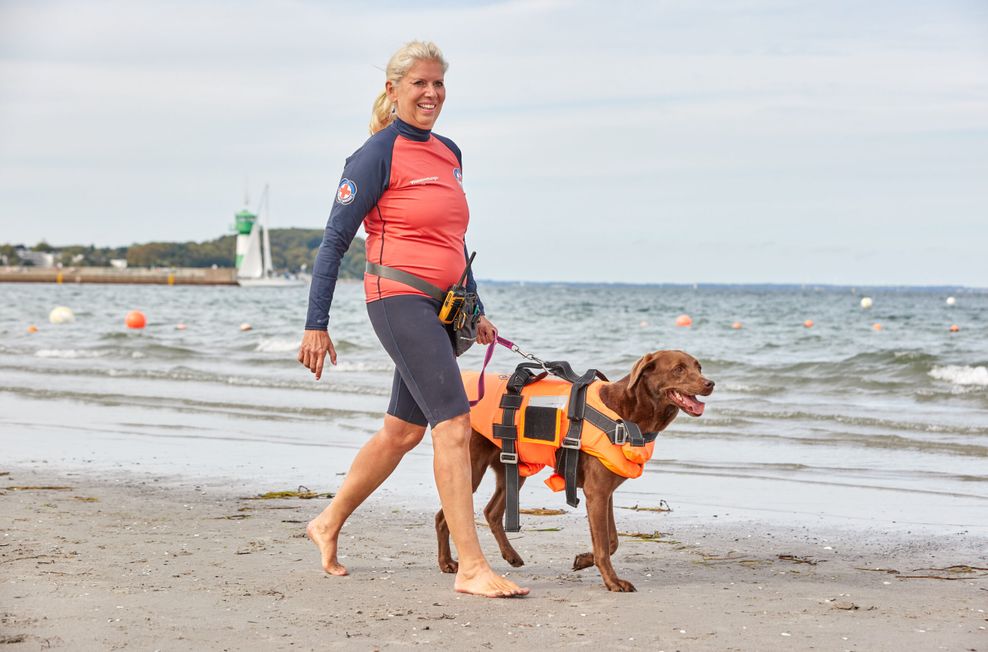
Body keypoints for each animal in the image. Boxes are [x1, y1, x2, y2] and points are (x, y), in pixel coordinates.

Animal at [436, 352, 712, 592]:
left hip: (514, 468)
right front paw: (613, 582)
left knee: (491, 512)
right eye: (678, 369)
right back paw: (447, 562)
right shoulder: (596, 492)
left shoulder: (605, 492)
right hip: (470, 466)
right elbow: (604, 546)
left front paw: (583, 560)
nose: (710, 384)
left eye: (699, 367)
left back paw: (510, 556)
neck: (625, 414)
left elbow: (611, 541)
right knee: (444, 516)